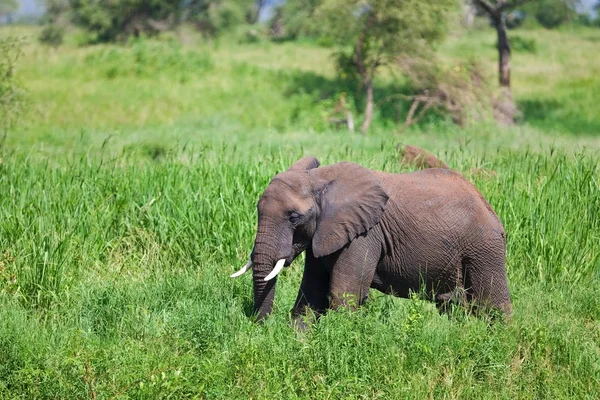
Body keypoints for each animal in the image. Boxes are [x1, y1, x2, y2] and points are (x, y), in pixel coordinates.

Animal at [230, 156, 510, 324]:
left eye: (293, 218)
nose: (260, 326)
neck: (318, 179)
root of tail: (488, 205)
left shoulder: (364, 235)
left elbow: (343, 294)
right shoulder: (325, 232)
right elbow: (311, 292)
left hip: (484, 248)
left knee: (493, 305)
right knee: (453, 305)